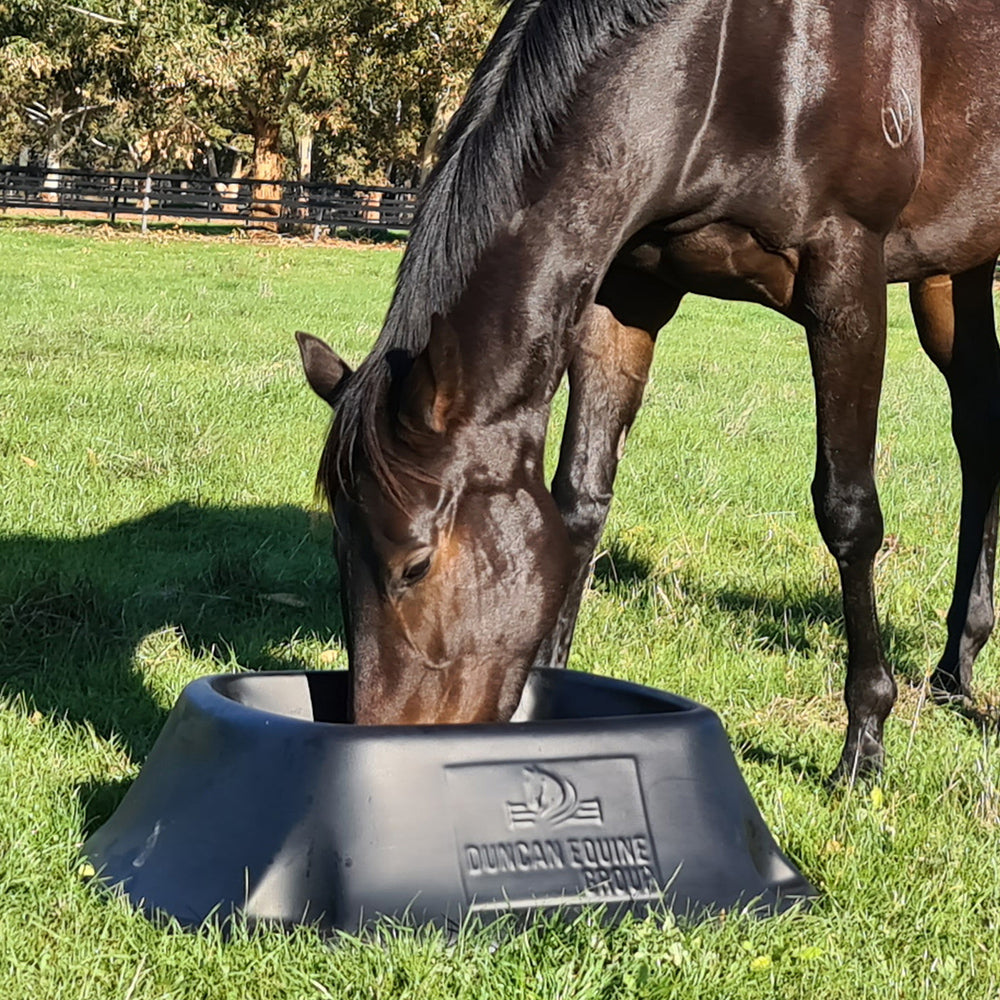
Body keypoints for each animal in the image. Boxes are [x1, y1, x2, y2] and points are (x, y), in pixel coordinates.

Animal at [297, 0, 1000, 783]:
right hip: (954, 269)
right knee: (981, 429)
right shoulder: (626, 292)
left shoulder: (846, 279)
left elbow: (848, 512)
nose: (380, 745)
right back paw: (956, 666)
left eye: (414, 566)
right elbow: (579, 500)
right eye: (336, 556)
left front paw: (866, 737)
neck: (731, 57)